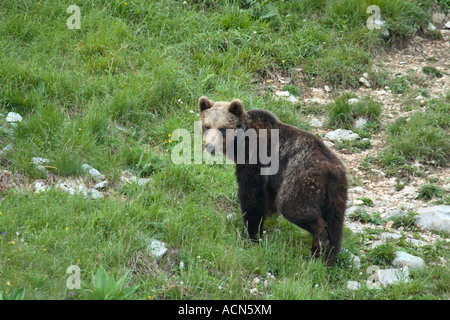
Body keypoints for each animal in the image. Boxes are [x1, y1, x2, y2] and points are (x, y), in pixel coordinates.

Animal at [198, 96, 348, 266]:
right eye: (207, 126)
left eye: (223, 128)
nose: (209, 146)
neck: (239, 144)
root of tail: (333, 171)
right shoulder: (271, 178)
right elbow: (268, 198)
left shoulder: (256, 158)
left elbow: (251, 194)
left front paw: (252, 234)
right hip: (338, 194)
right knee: (336, 223)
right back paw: (328, 255)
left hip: (302, 178)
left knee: (292, 206)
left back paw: (318, 241)